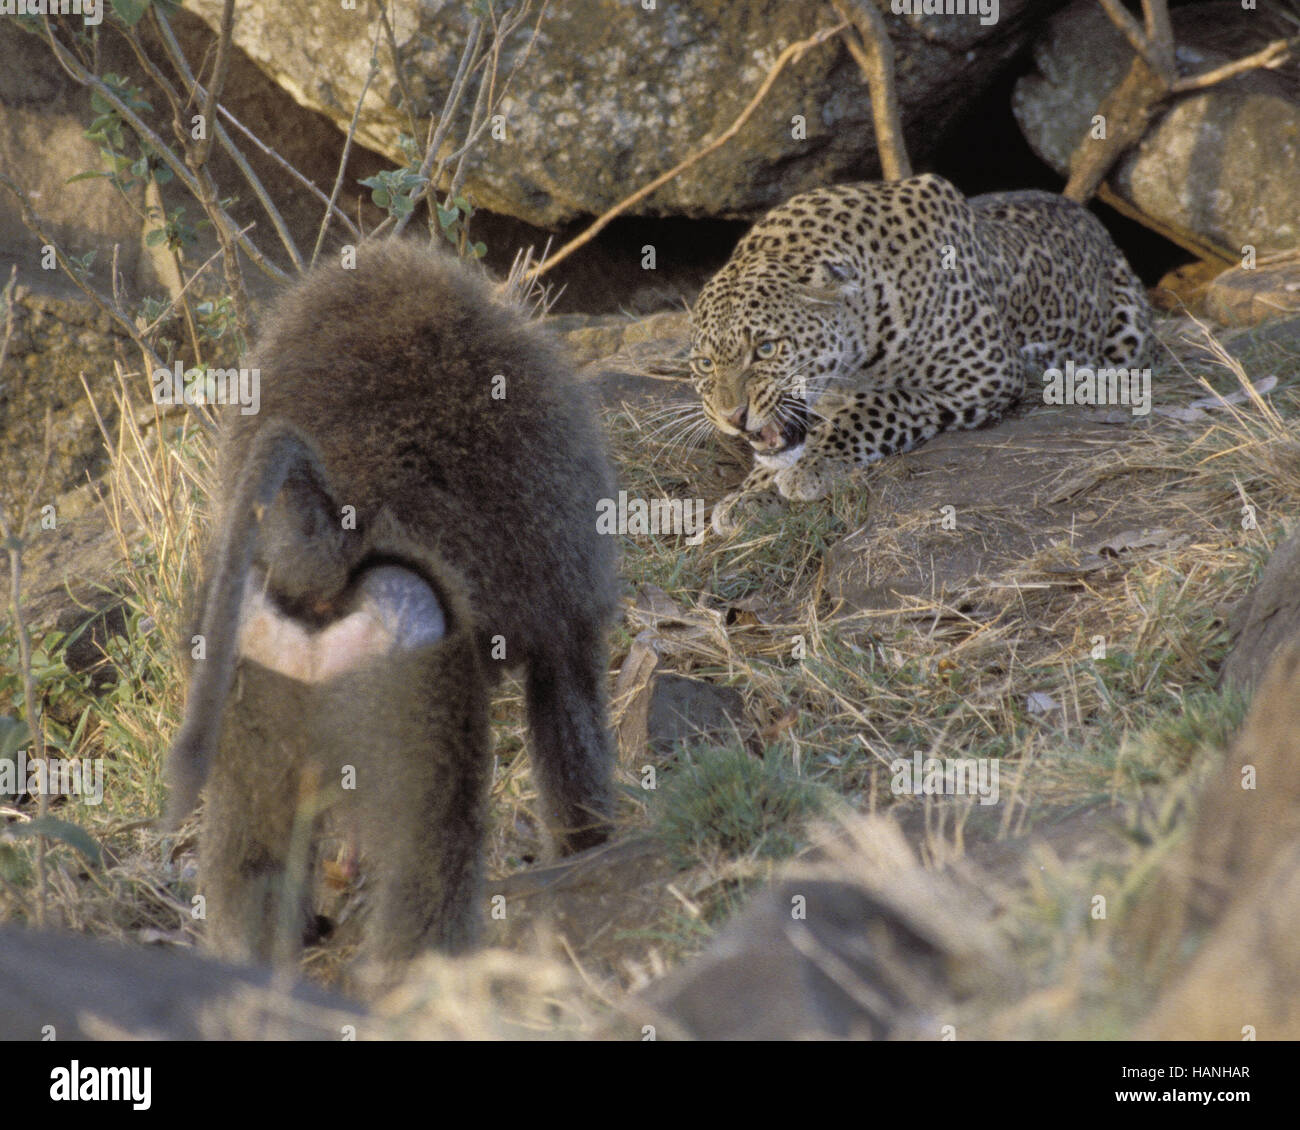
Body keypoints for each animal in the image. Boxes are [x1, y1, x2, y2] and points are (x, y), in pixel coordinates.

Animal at [688, 173, 1152, 534]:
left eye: (766, 348)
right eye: (705, 363)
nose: (733, 418)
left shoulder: (983, 373)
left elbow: (878, 406)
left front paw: (812, 466)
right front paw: (749, 496)